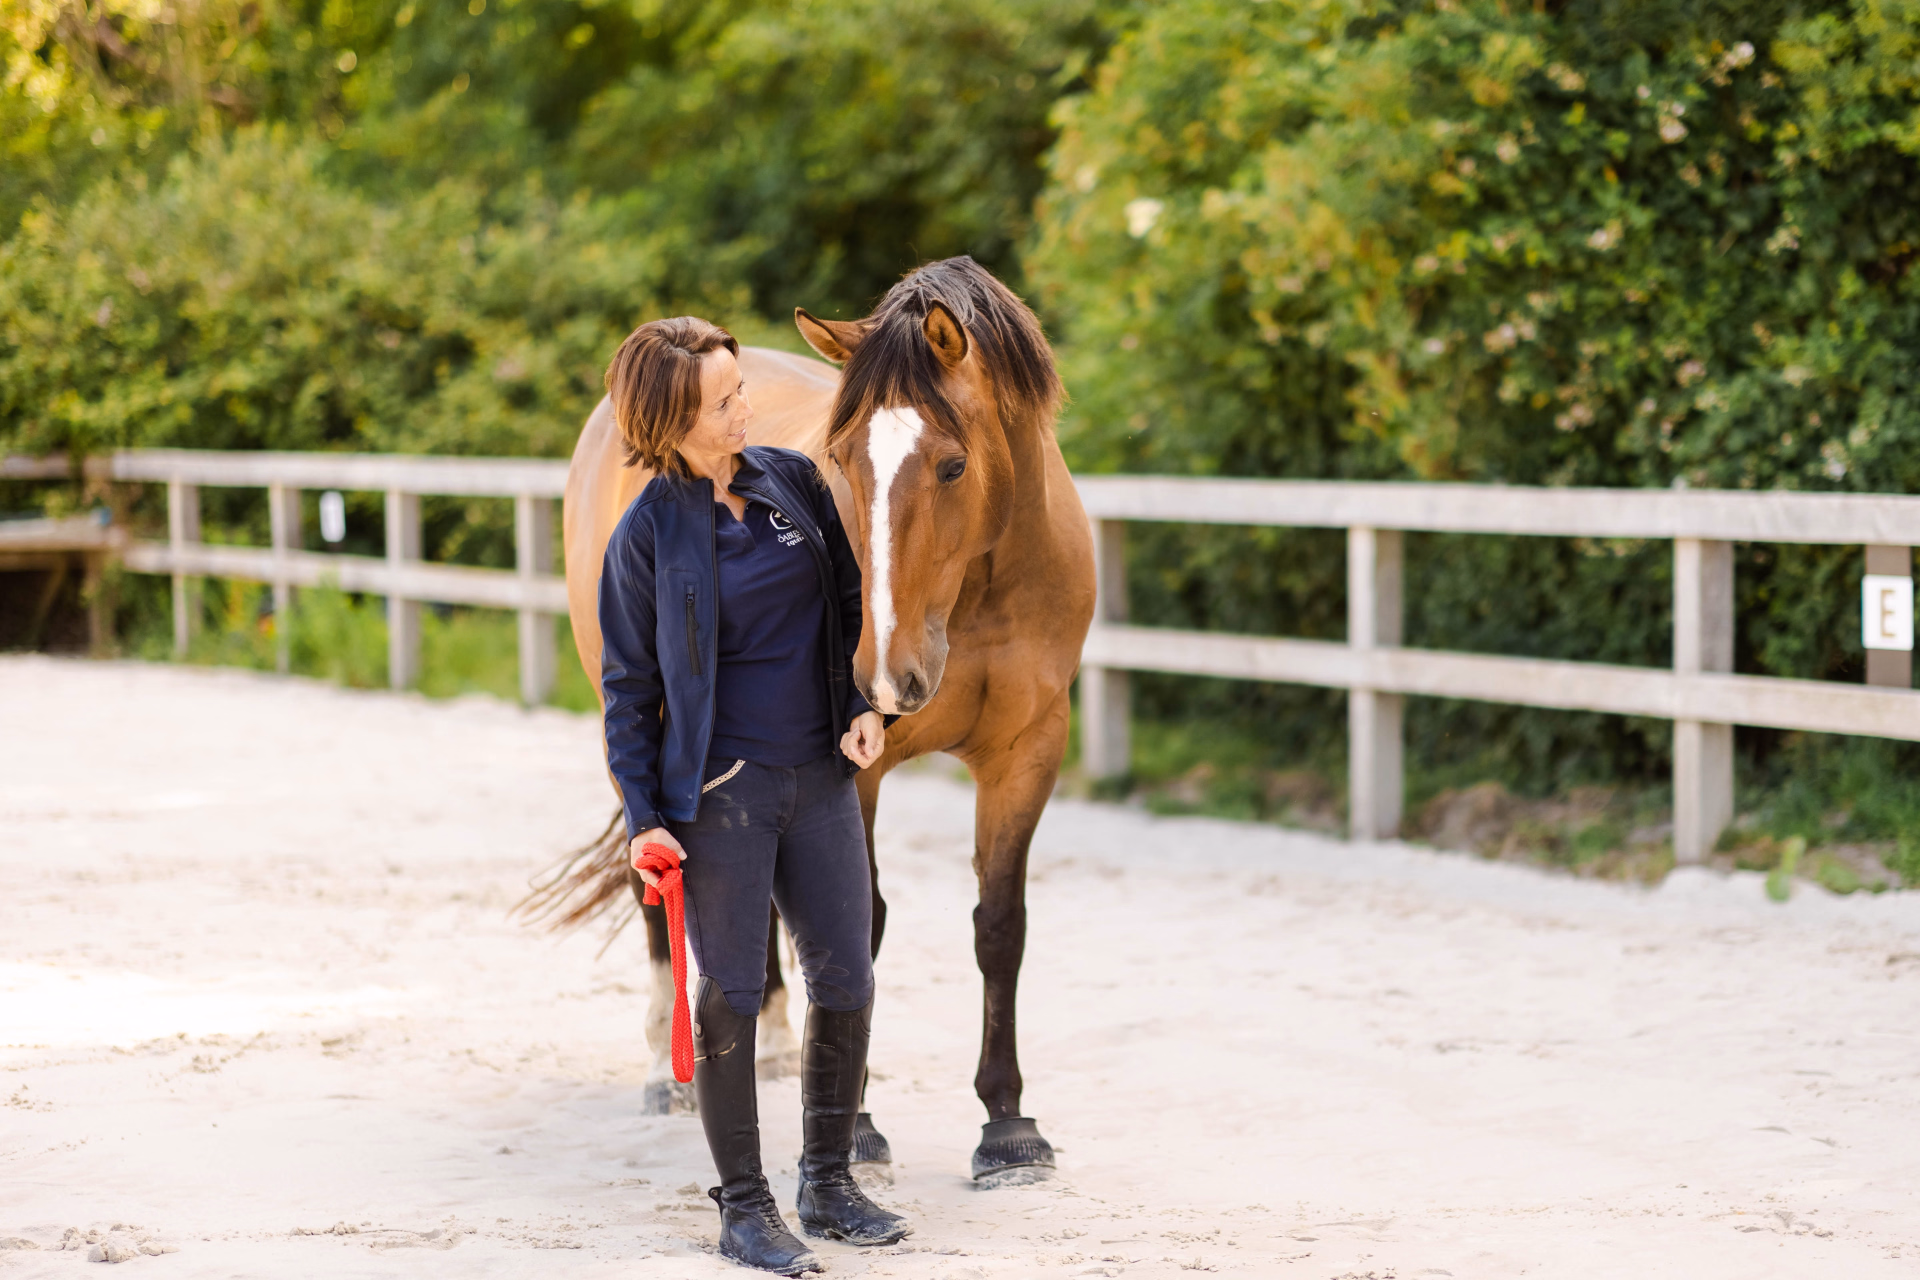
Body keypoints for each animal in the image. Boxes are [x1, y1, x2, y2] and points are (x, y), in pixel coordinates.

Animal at [521, 256, 1095, 1183]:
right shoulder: (853, 769)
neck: (979, 592)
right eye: (842, 460)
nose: (886, 677)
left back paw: (779, 1044)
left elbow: (999, 927)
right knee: (660, 884)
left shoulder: (1027, 751)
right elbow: (855, 927)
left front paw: (1008, 1126)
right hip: (635, 721)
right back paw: (665, 1074)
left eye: (952, 466)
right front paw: (856, 1127)